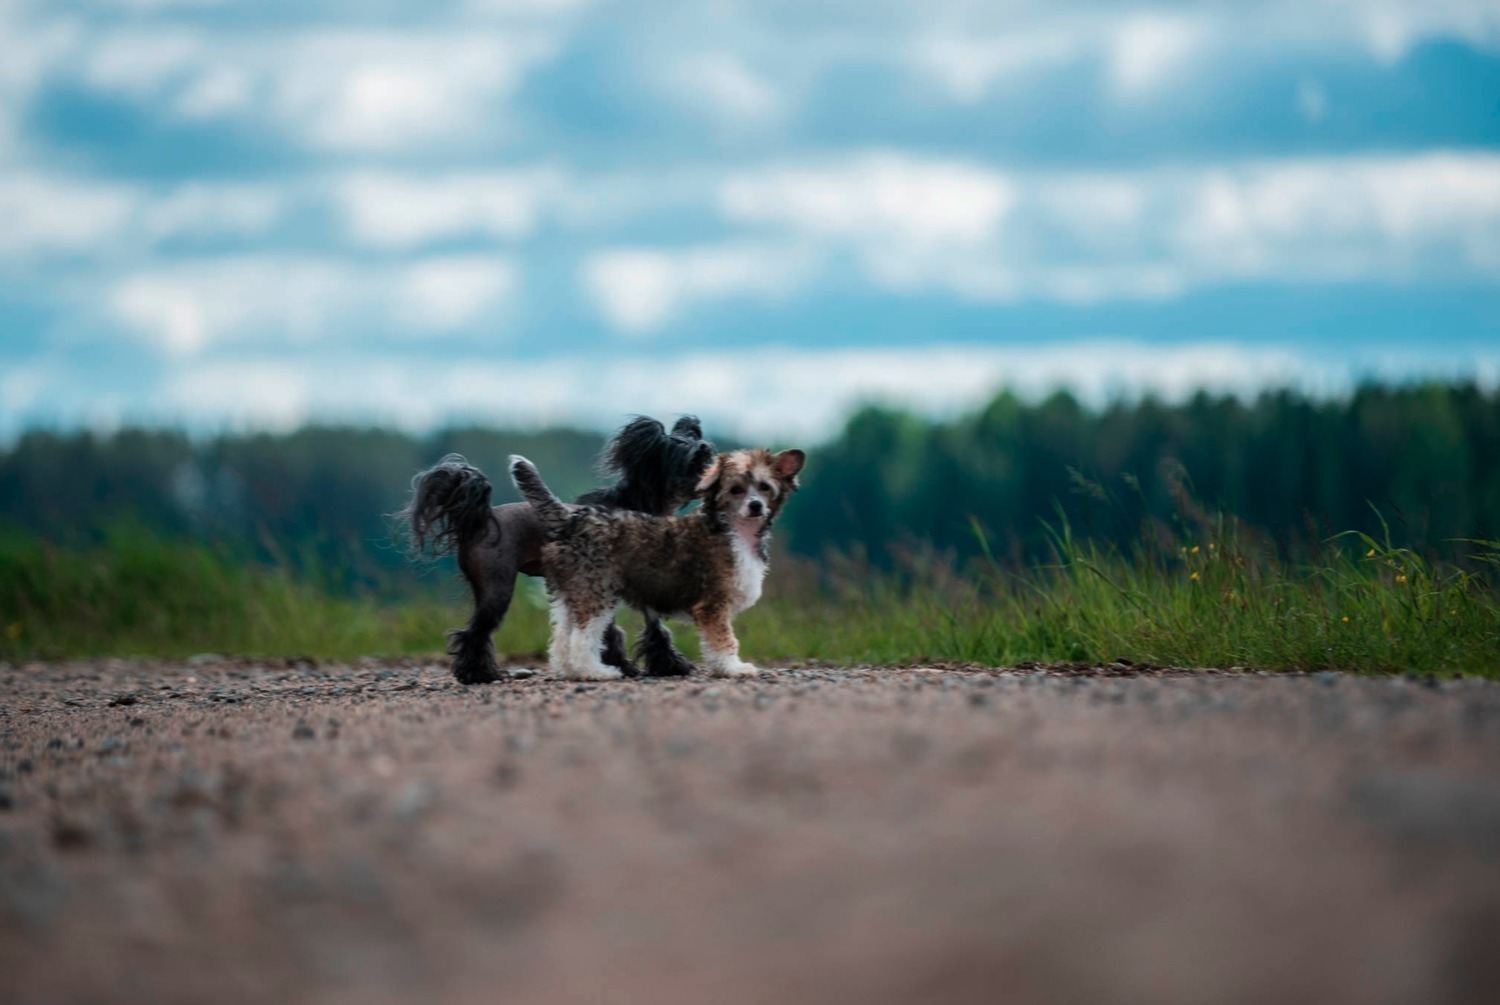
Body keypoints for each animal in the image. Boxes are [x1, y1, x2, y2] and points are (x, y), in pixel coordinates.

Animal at [402, 414, 711, 684]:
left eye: (706, 457)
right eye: (692, 461)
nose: (712, 475)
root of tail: (480, 520)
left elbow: (643, 629)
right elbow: (634, 630)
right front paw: (647, 666)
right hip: (497, 588)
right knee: (474, 633)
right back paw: (478, 675)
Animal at [507, 444, 810, 681]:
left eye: (764, 487)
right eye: (736, 489)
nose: (755, 506)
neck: (732, 530)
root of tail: (573, 520)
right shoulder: (713, 606)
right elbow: (724, 640)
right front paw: (733, 668)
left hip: (572, 595)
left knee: (561, 639)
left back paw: (572, 671)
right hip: (597, 594)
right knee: (582, 640)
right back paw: (596, 672)